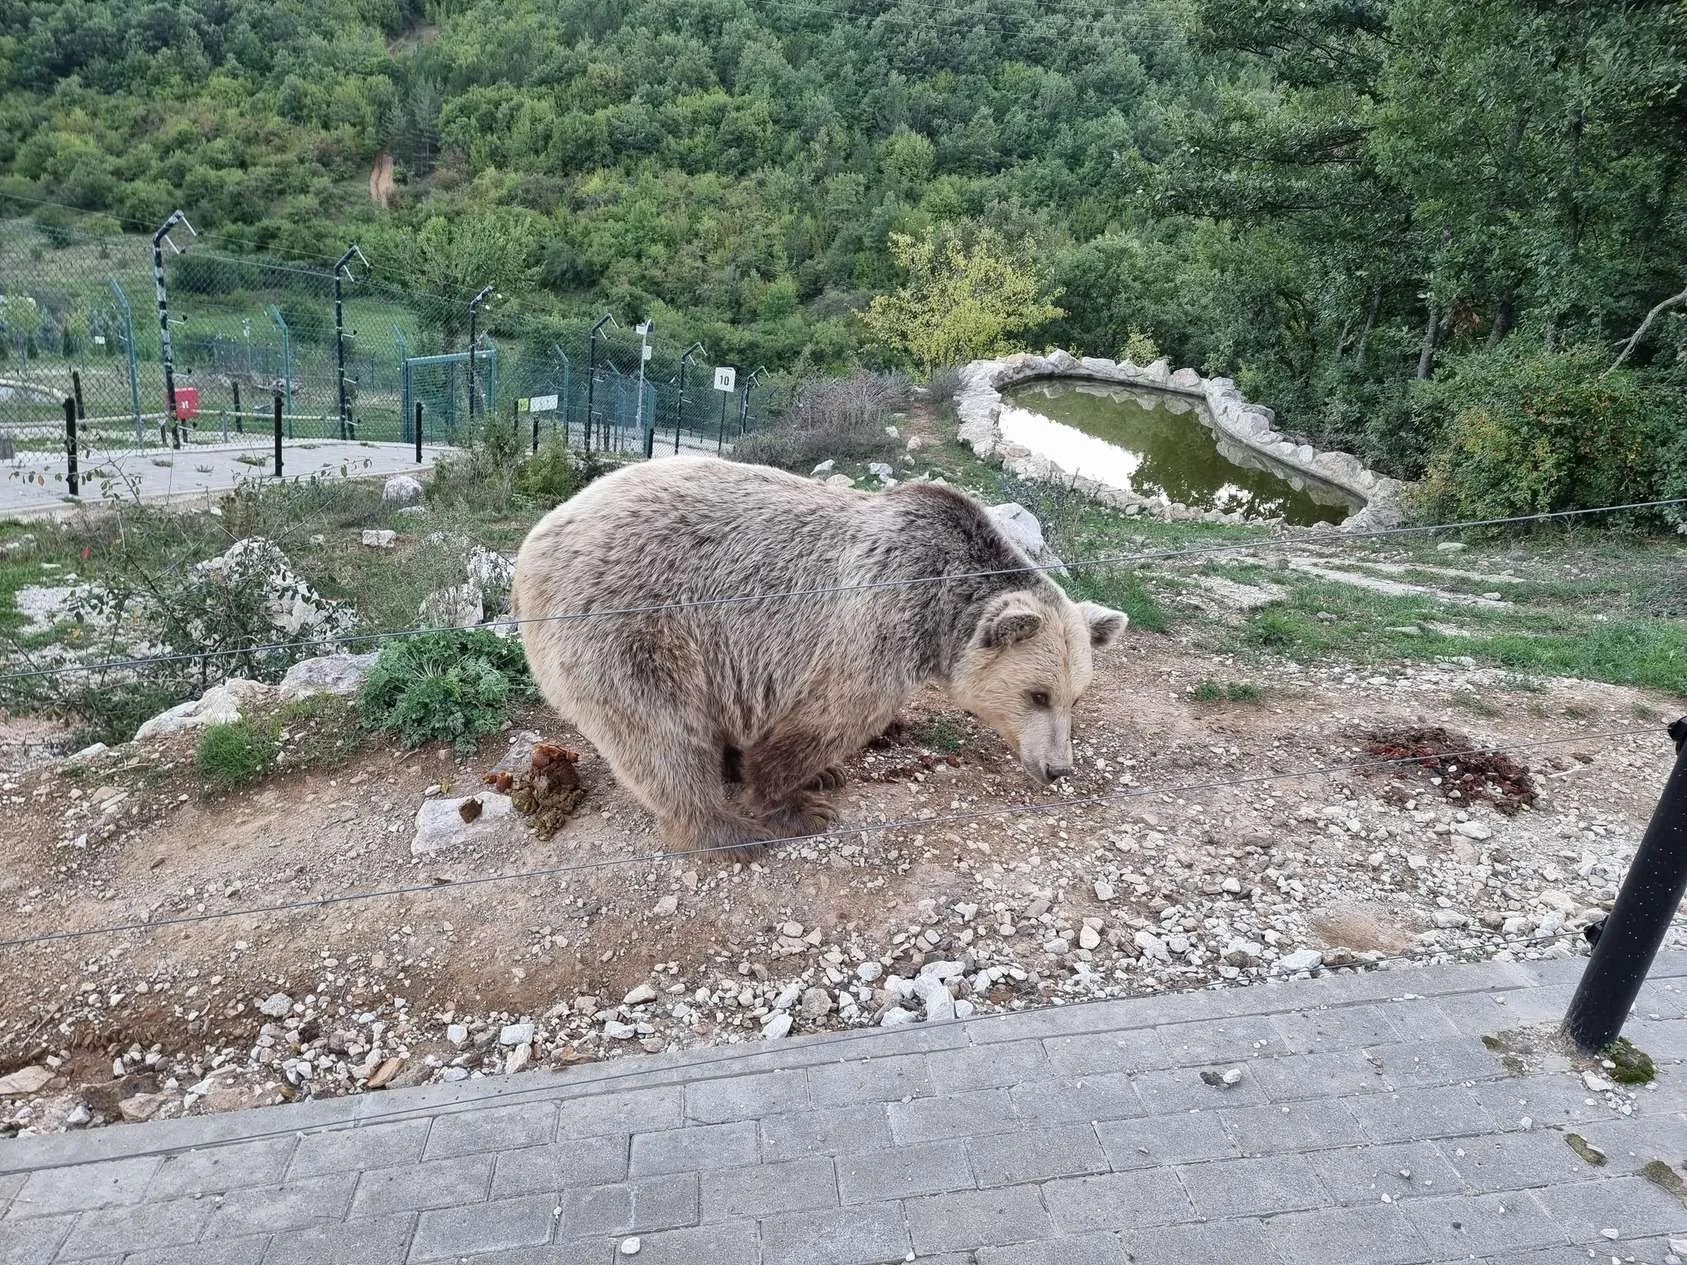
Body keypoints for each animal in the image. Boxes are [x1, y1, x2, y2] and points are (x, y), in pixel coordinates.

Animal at [511, 454, 1125, 857]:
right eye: (1037, 694)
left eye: (1074, 697)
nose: (1056, 768)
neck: (940, 605)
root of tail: (534, 543)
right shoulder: (870, 625)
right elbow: (830, 719)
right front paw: (800, 805)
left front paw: (821, 777)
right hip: (629, 626)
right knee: (661, 737)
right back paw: (728, 835)